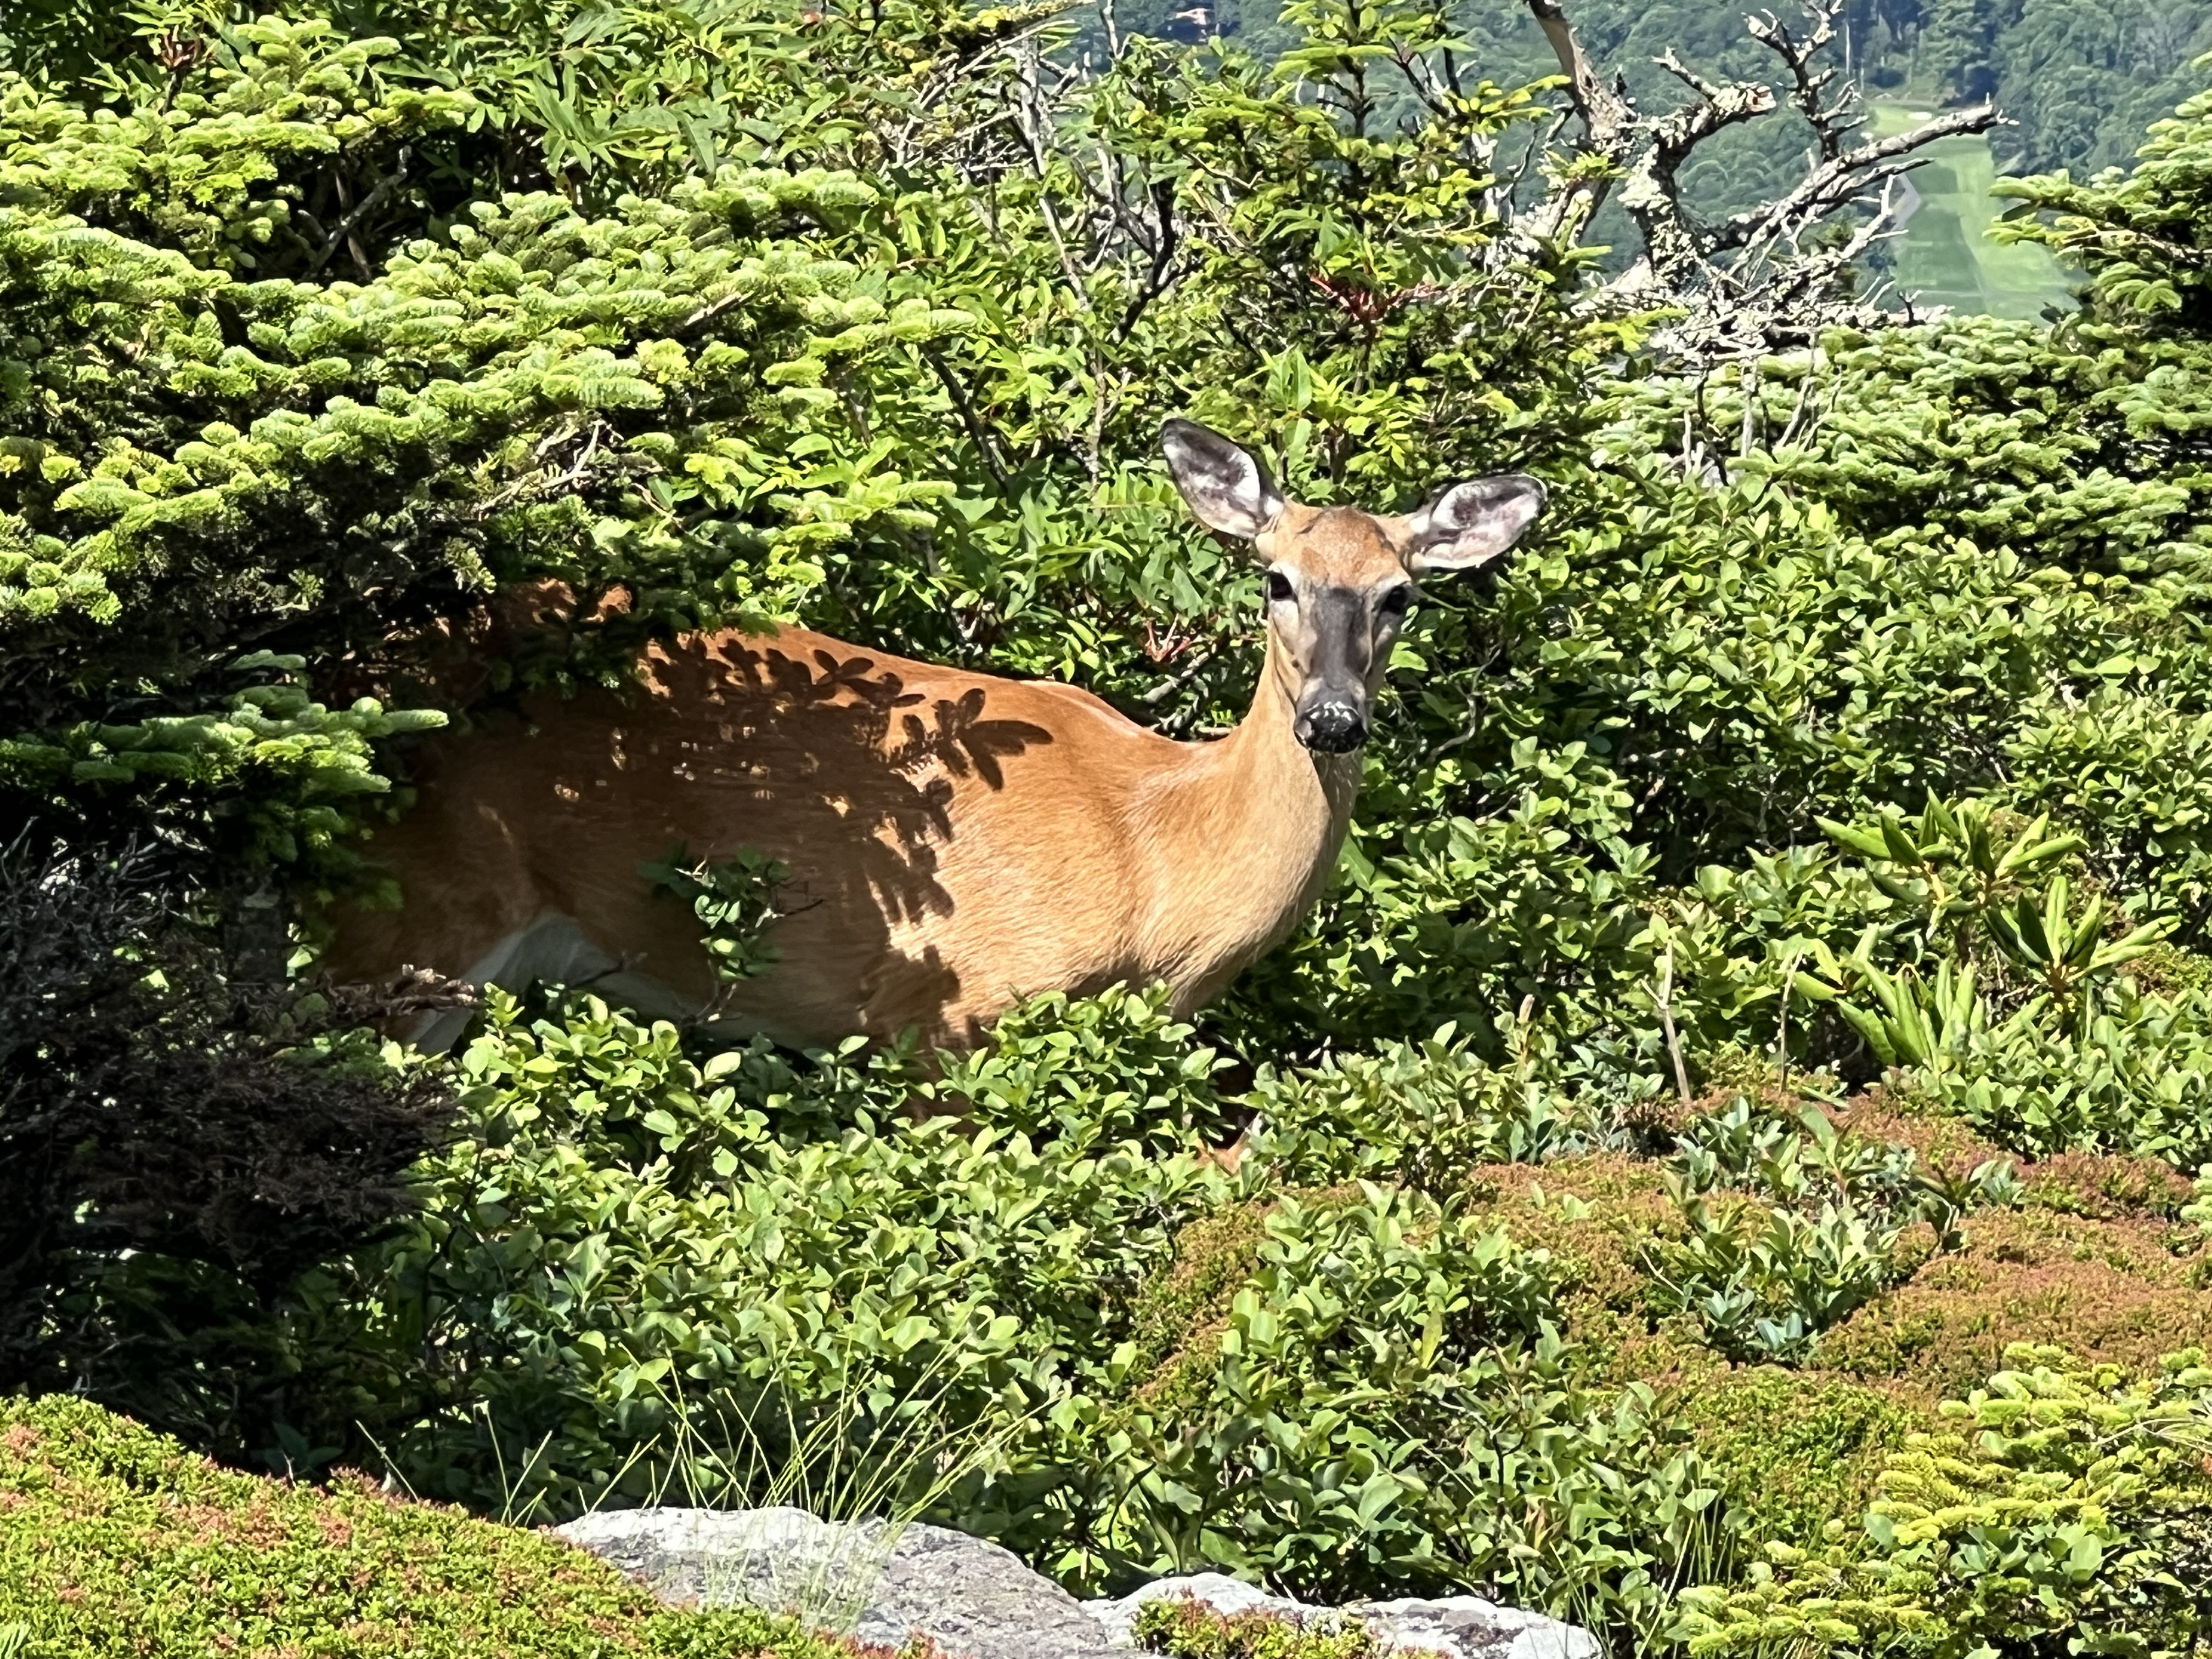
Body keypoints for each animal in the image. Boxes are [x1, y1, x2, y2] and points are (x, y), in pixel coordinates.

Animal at [325, 419, 1546, 1057]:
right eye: (1277, 579)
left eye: (1399, 596)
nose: (1332, 715)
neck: (1156, 854)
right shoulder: (949, 1011)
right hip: (409, 911)